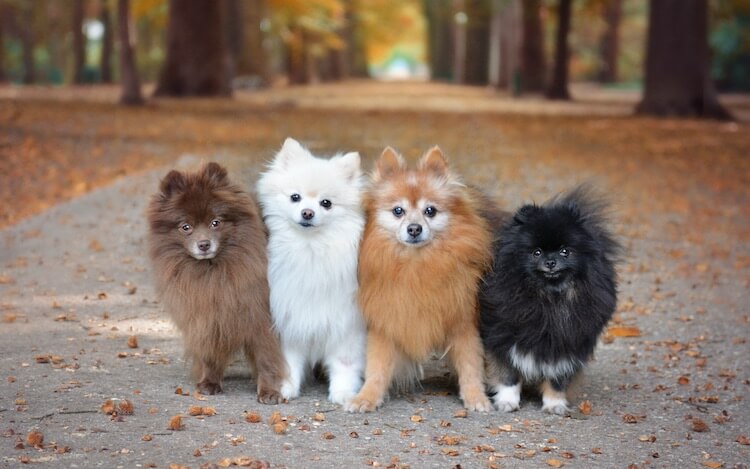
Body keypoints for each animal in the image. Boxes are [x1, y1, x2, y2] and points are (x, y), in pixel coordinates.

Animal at [148, 162, 286, 402]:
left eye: (216, 223)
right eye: (185, 227)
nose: (204, 244)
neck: (212, 272)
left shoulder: (261, 318)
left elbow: (267, 356)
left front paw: (269, 391)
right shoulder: (207, 316)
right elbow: (209, 354)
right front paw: (209, 383)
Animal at [256, 137, 368, 404]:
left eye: (326, 203)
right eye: (295, 197)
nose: (307, 212)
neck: (311, 249)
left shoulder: (346, 324)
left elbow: (344, 363)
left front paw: (343, 393)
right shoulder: (290, 317)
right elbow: (289, 362)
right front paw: (284, 388)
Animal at [348, 148, 500, 412]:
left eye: (430, 211)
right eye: (398, 211)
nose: (414, 228)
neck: (417, 265)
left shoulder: (463, 322)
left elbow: (470, 364)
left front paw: (475, 397)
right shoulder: (386, 320)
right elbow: (377, 366)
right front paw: (366, 397)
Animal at [482, 186, 624, 414]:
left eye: (565, 251)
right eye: (536, 252)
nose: (550, 261)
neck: (549, 298)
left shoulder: (567, 343)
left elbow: (557, 378)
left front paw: (554, 404)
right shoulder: (501, 337)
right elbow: (507, 374)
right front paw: (507, 401)